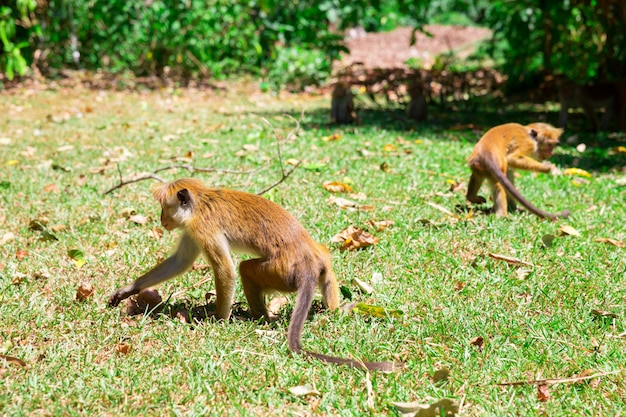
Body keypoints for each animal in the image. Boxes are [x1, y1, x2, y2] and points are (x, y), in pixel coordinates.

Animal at [105, 178, 392, 370]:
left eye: (165, 208)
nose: (162, 220)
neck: (201, 200)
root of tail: (307, 265)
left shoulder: (202, 227)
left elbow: (225, 270)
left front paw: (219, 320)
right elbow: (180, 262)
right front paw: (129, 290)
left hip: (280, 272)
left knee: (245, 269)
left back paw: (259, 317)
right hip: (318, 261)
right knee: (325, 258)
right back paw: (334, 310)